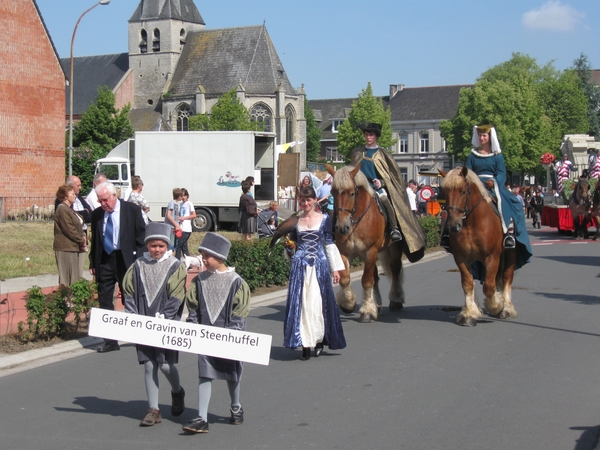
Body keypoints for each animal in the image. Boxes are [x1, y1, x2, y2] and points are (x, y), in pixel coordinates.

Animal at [332, 163, 404, 322]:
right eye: (333, 193)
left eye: (352, 193)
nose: (342, 227)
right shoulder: (344, 252)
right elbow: (345, 278)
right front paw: (348, 304)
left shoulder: (371, 250)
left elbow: (366, 280)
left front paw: (367, 311)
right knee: (375, 276)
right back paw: (377, 304)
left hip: (393, 248)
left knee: (395, 269)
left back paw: (395, 300)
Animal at [442, 167, 516, 326]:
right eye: (444, 192)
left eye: (463, 191)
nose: (453, 226)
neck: (472, 222)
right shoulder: (461, 258)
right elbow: (468, 283)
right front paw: (469, 314)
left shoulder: (492, 257)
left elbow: (488, 286)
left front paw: (496, 306)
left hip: (509, 255)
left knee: (507, 277)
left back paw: (507, 309)